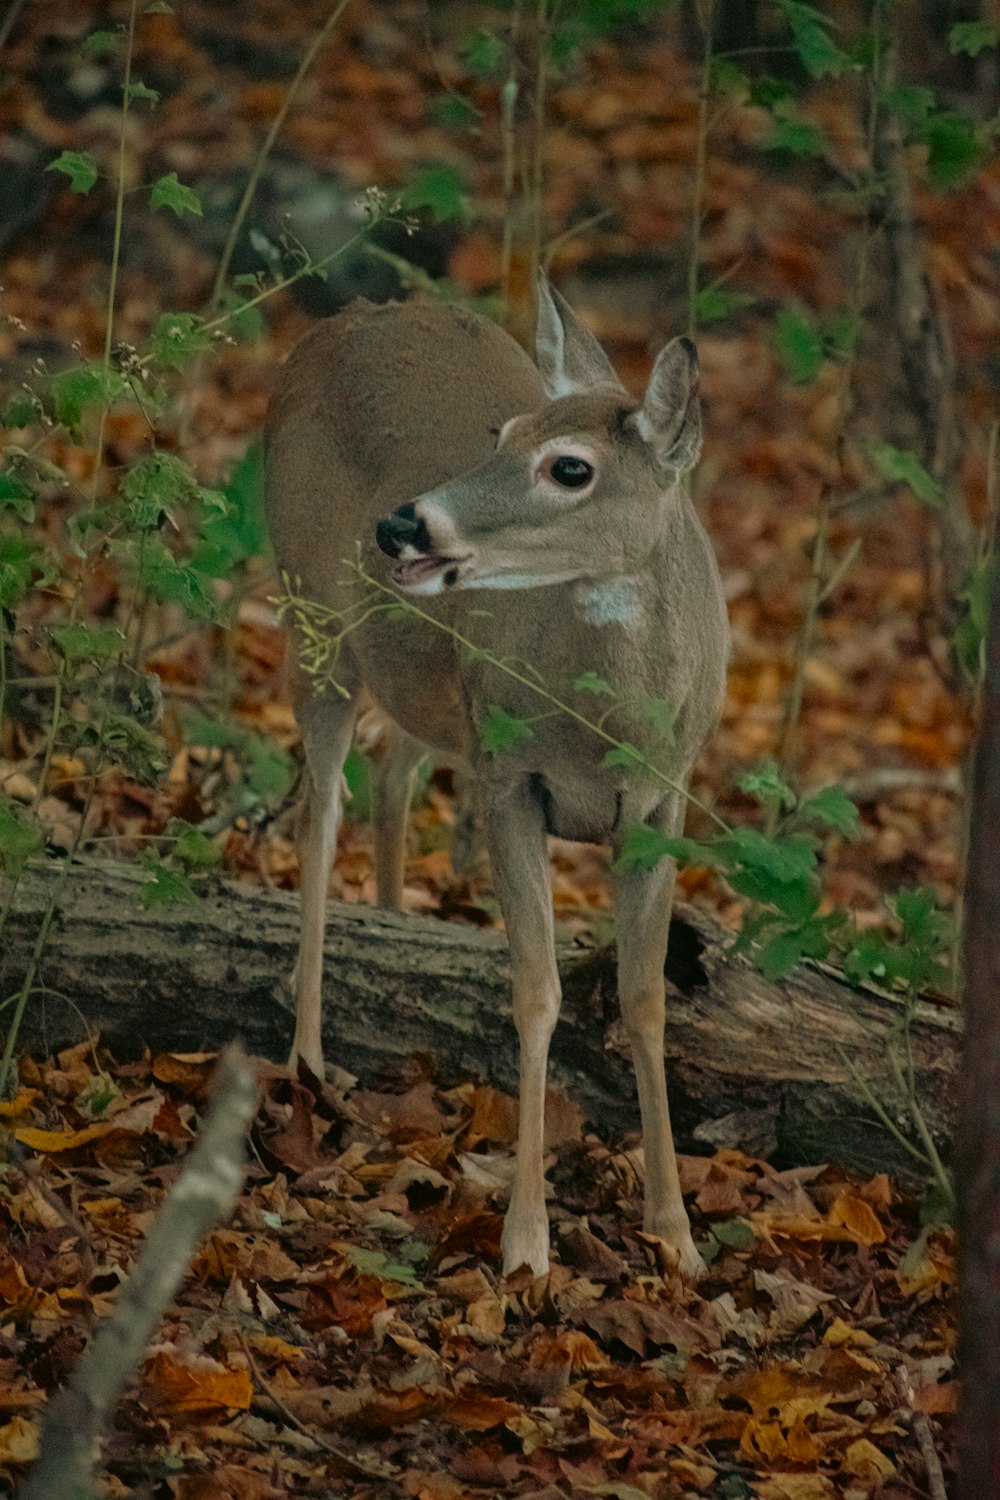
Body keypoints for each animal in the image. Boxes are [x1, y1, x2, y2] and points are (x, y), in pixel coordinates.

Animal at [268, 279, 728, 1278]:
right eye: (503, 432)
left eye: (570, 468)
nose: (402, 523)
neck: (604, 722)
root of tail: (333, 326)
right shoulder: (514, 777)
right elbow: (537, 990)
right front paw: (526, 1242)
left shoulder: (662, 799)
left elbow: (645, 1000)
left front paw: (675, 1232)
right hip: (313, 617)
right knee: (320, 809)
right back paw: (306, 1060)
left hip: (427, 686)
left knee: (392, 767)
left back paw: (393, 924)